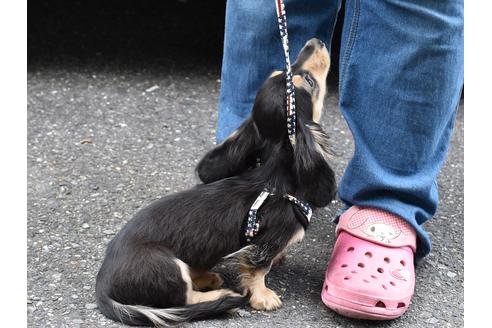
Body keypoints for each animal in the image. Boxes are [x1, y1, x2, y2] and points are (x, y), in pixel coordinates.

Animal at [95, 38, 338, 326]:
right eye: (309, 81)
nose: (316, 42)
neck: (276, 177)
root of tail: (102, 284)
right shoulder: (265, 242)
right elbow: (258, 269)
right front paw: (263, 296)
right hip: (168, 267)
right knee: (185, 300)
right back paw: (221, 297)